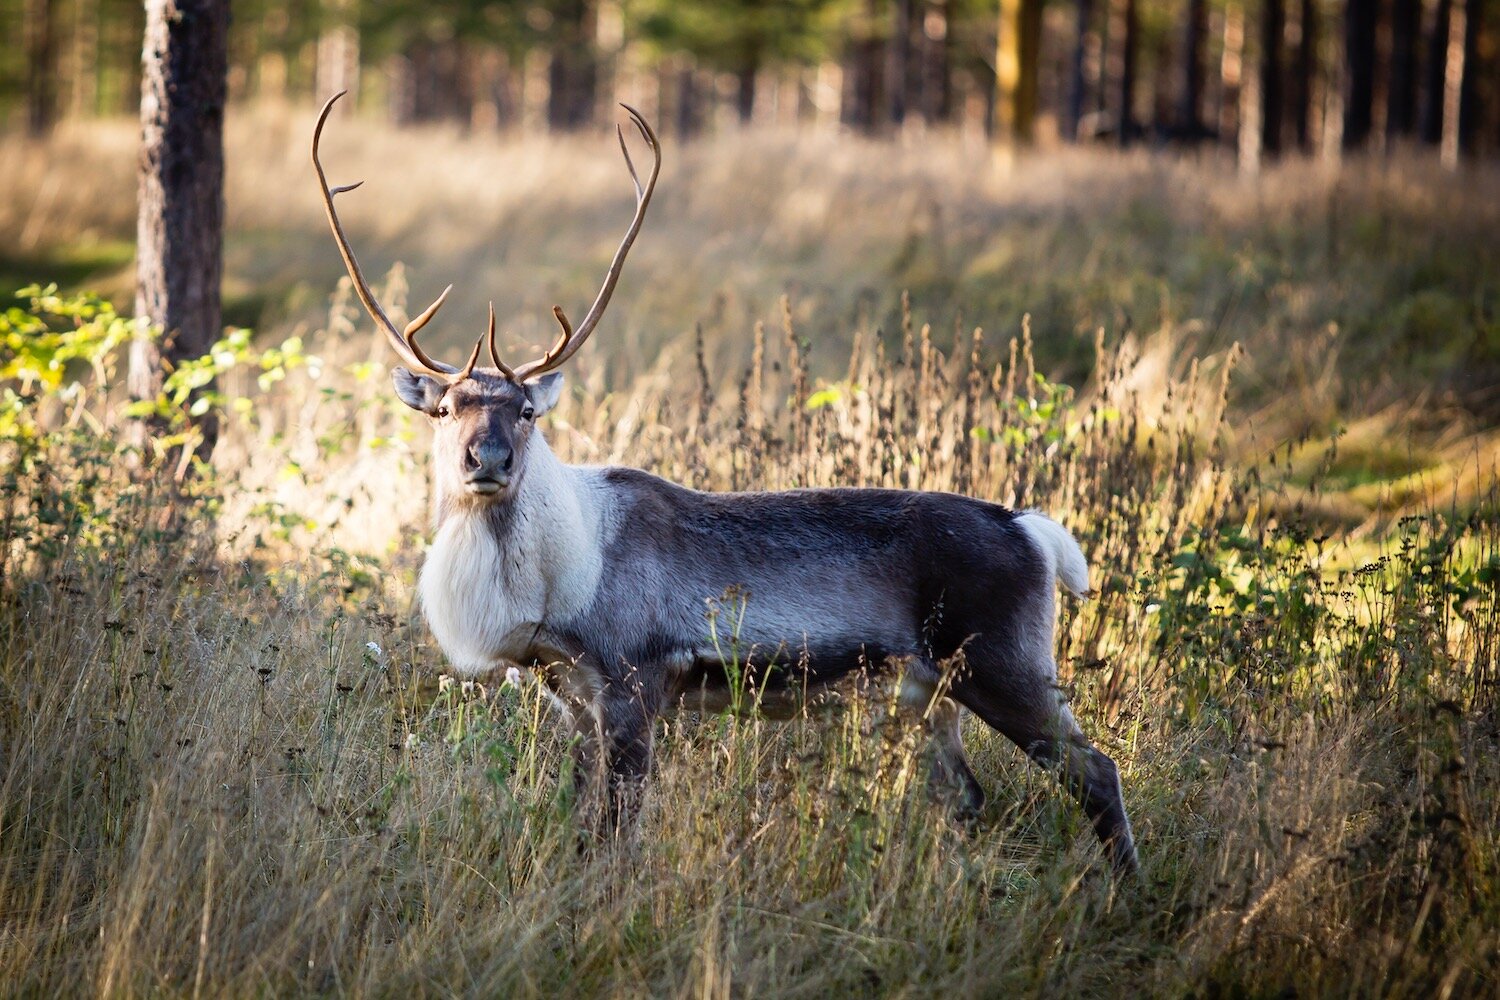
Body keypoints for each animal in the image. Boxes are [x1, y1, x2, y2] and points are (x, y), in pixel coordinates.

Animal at [311, 91, 1138, 875]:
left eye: (526, 410)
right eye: (446, 406)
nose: (486, 461)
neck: (555, 582)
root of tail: (1031, 530)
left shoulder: (634, 687)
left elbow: (617, 831)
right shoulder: (576, 701)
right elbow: (580, 822)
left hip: (1006, 666)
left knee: (1096, 770)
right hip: (926, 696)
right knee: (968, 798)